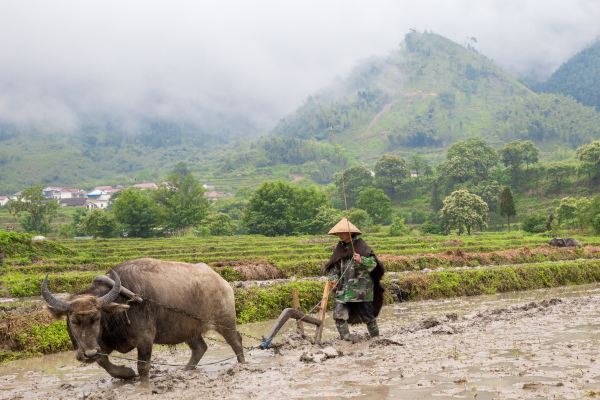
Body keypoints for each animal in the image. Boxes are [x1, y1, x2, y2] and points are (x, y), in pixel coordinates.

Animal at [41, 258, 245, 380]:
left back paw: (242, 365)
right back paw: (186, 370)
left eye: (97, 318)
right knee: (200, 348)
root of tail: (222, 282)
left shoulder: (145, 339)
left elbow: (143, 367)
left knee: (236, 341)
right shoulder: (102, 345)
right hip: (188, 329)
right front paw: (126, 374)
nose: (88, 354)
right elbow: (104, 363)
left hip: (226, 322)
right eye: (73, 321)